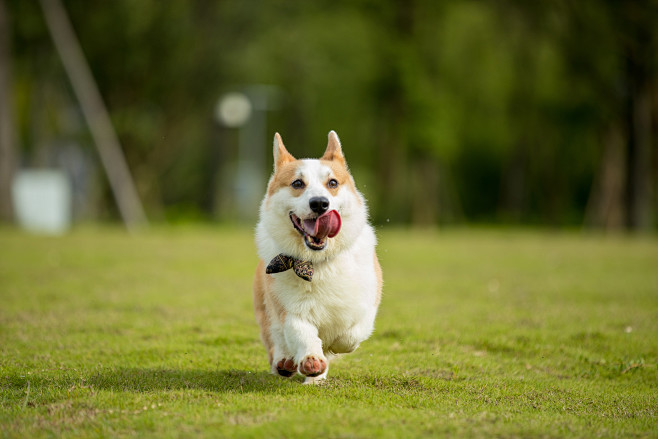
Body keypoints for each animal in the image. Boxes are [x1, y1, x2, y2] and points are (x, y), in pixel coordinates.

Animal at [254, 131, 382, 384]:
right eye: (297, 183)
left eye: (332, 183)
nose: (320, 203)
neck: (318, 261)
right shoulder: (290, 311)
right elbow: (303, 335)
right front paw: (312, 360)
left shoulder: (366, 306)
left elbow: (350, 335)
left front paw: (334, 346)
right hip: (265, 310)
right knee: (276, 339)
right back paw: (286, 363)